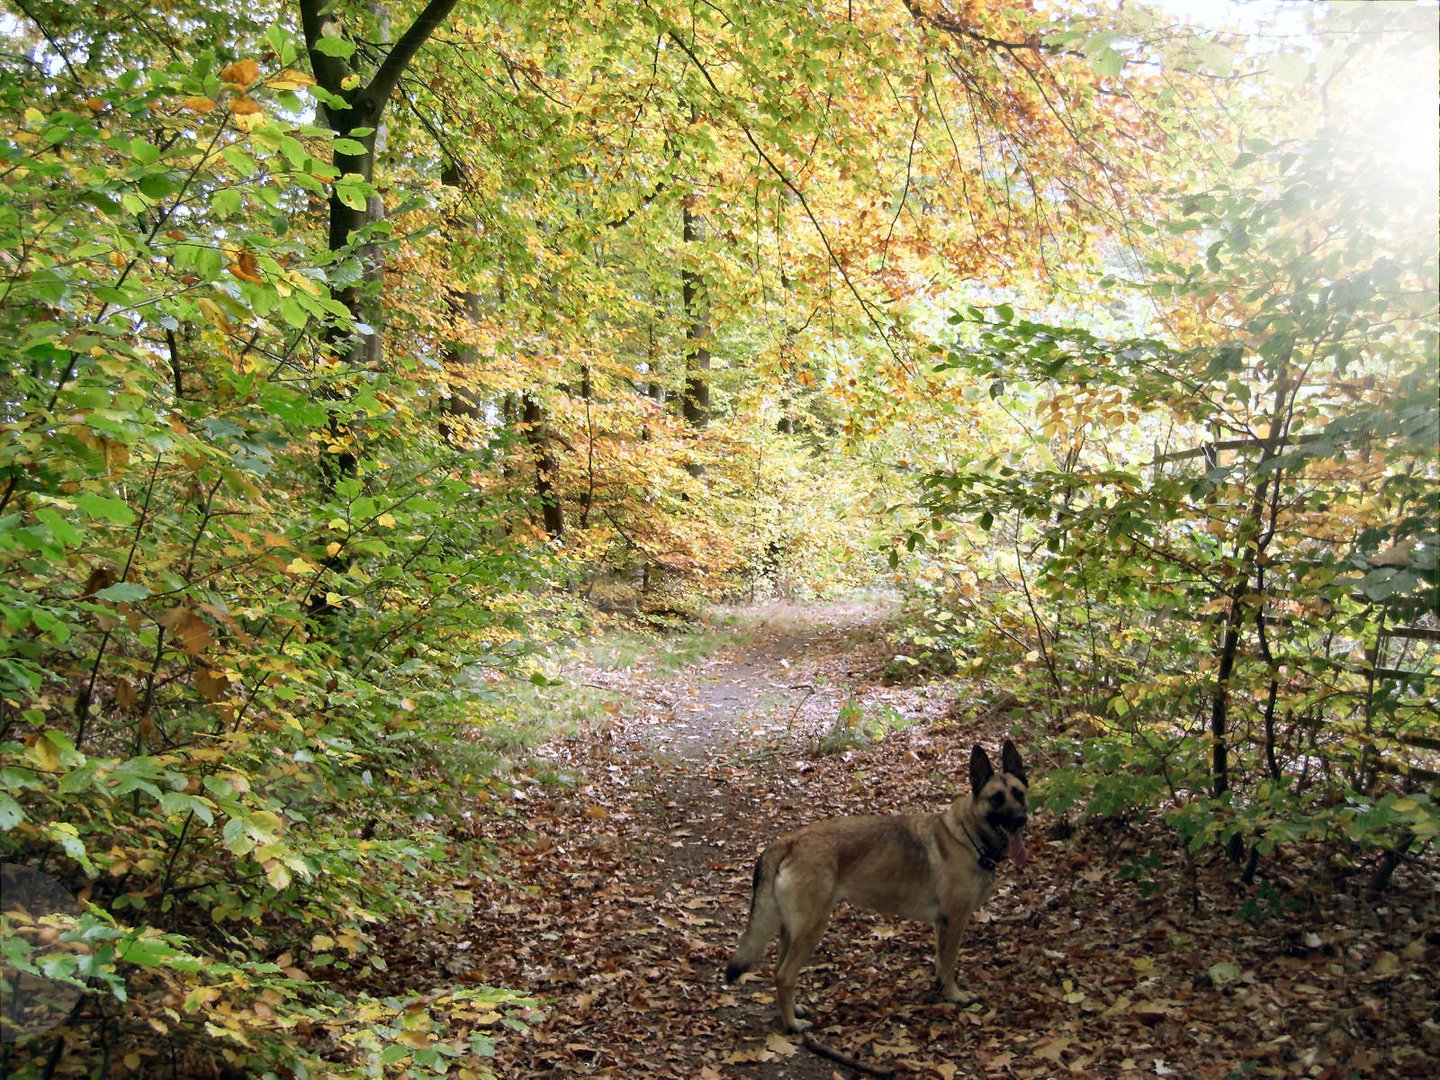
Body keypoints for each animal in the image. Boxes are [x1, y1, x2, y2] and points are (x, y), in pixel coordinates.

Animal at [725, 743, 1031, 1031]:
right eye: (996, 798)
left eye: (1019, 794)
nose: (1020, 819)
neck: (969, 837)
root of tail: (788, 841)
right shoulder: (953, 921)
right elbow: (949, 962)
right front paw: (955, 995)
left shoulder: (941, 924)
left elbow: (940, 963)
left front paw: (940, 992)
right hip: (812, 928)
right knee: (784, 974)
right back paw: (791, 1025)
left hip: (792, 930)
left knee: (778, 971)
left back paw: (793, 1011)